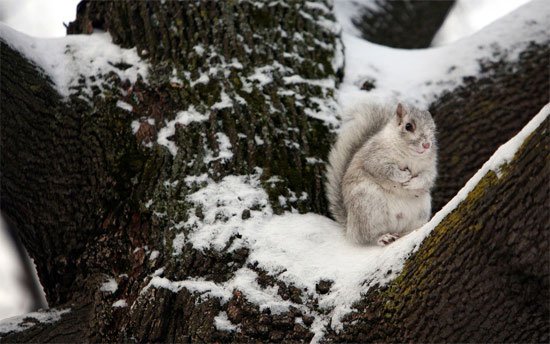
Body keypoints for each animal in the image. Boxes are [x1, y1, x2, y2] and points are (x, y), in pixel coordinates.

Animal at [328, 101, 440, 246]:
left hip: (421, 210)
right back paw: (383, 237)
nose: (427, 145)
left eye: (433, 129)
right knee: (368, 236)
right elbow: (385, 170)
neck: (410, 155)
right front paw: (403, 176)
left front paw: (413, 183)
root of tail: (350, 227)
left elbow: (427, 177)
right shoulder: (374, 158)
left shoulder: (429, 167)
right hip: (369, 206)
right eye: (408, 126)